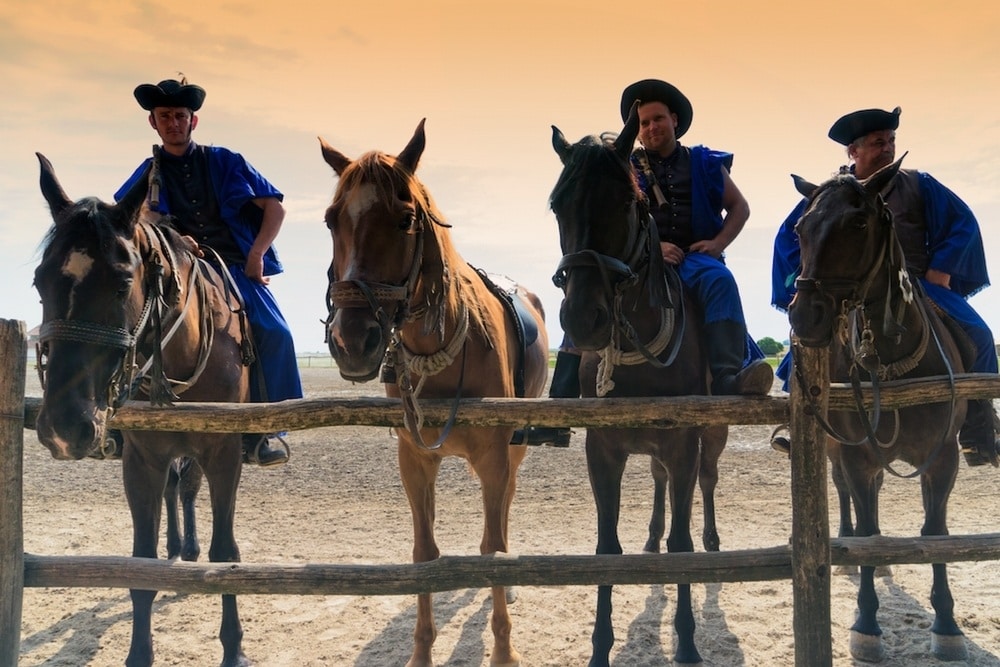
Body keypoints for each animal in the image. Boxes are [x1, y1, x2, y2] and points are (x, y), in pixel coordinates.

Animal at [33, 153, 252, 667]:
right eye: (39, 283)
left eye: (121, 285)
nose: (63, 427)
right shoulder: (140, 461)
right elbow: (142, 565)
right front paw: (139, 653)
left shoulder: (224, 455)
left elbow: (225, 553)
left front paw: (233, 648)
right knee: (176, 489)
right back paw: (178, 547)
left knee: (187, 490)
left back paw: (187, 548)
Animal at [320, 121, 552, 667]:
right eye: (331, 220)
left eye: (405, 219)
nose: (351, 340)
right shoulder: (415, 461)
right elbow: (424, 553)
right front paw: (421, 652)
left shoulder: (494, 458)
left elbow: (491, 550)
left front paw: (504, 650)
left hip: (516, 450)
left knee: (505, 510)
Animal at [548, 107, 728, 664]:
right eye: (557, 205)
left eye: (628, 201)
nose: (583, 319)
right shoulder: (603, 449)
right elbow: (607, 548)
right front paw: (599, 647)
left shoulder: (684, 442)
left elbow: (682, 546)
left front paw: (687, 644)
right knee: (659, 482)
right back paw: (650, 537)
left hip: (712, 438)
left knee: (706, 483)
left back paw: (713, 540)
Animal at [788, 157, 968, 664]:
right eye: (801, 229)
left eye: (859, 223)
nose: (804, 315)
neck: (890, 366)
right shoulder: (856, 457)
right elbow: (867, 535)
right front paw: (866, 624)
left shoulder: (943, 459)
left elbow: (935, 533)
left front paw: (947, 625)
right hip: (838, 455)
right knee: (845, 496)